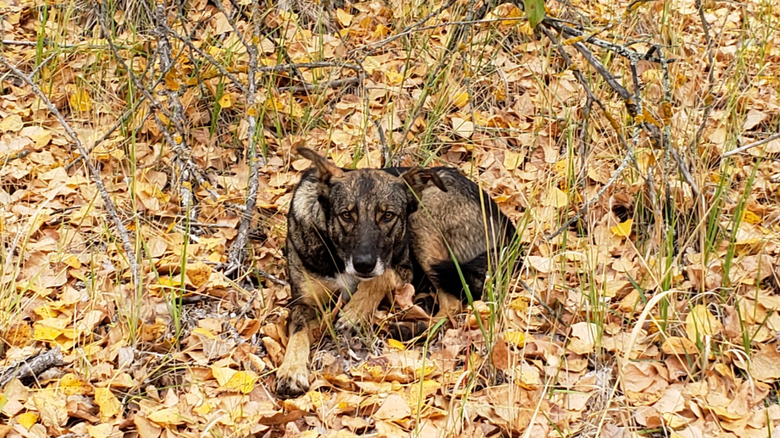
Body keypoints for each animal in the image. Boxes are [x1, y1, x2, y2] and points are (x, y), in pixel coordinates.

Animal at [276, 147, 516, 396]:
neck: (338, 254)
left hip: (423, 218)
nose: (363, 264)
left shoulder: (403, 268)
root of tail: (506, 223)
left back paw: (410, 328)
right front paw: (292, 369)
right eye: (346, 215)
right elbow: (298, 334)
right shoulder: (304, 303)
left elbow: (380, 278)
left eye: (388, 216)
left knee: (452, 304)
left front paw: (355, 312)